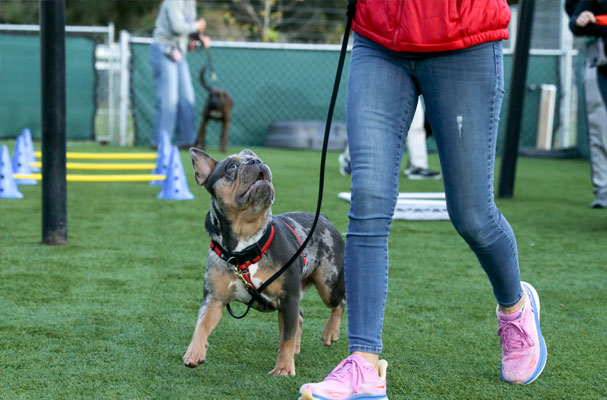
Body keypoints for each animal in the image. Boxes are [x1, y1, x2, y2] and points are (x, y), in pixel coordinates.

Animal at [183, 147, 346, 376]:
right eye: (232, 166)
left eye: (259, 159)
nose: (256, 162)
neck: (245, 244)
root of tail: (323, 217)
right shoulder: (214, 298)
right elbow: (201, 325)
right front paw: (194, 352)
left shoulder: (288, 298)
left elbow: (287, 336)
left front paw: (283, 368)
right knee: (300, 318)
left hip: (328, 285)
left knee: (339, 302)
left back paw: (329, 333)